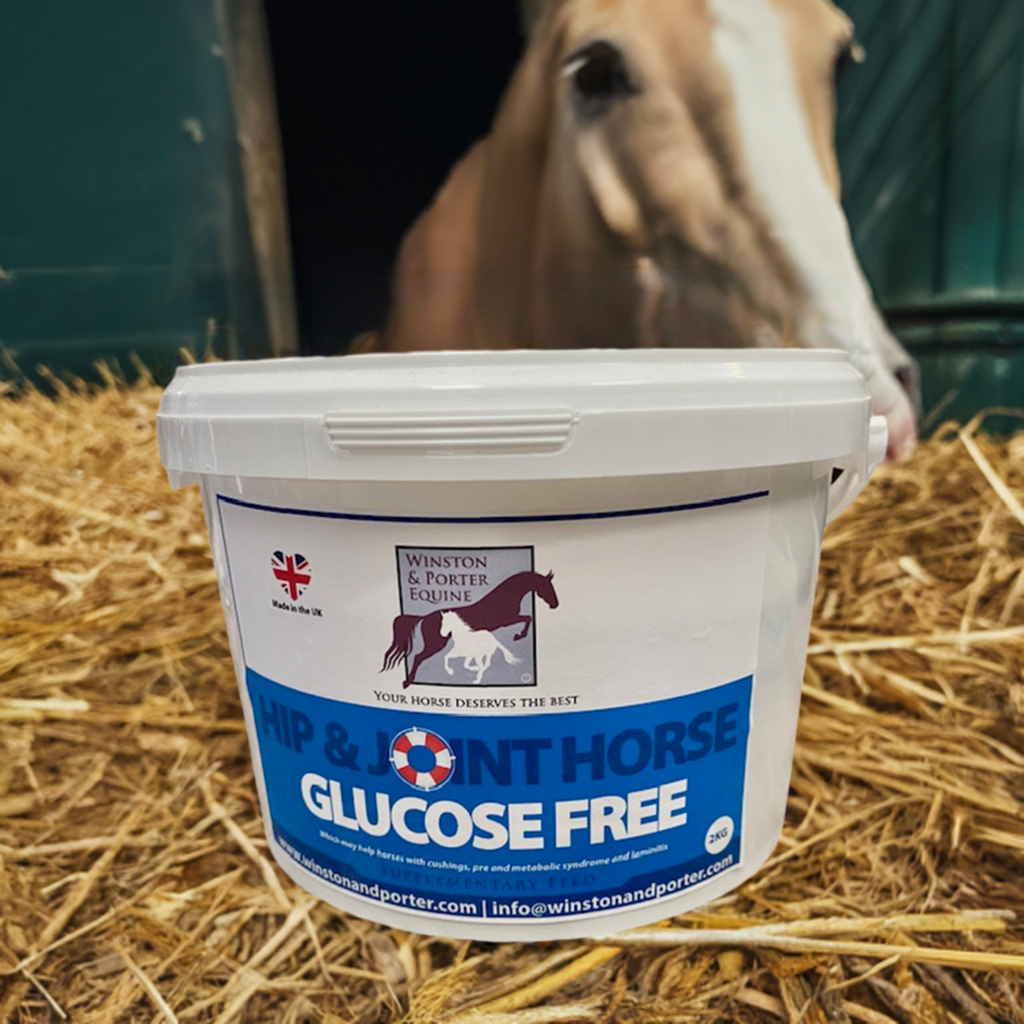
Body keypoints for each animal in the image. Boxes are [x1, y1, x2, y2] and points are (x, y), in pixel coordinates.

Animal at [382, 570, 558, 688]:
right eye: (547, 586)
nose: (555, 604)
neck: (504, 597)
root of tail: (424, 617)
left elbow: (528, 618)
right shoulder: (507, 621)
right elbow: (528, 618)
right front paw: (518, 636)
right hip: (436, 644)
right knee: (418, 657)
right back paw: (408, 682)